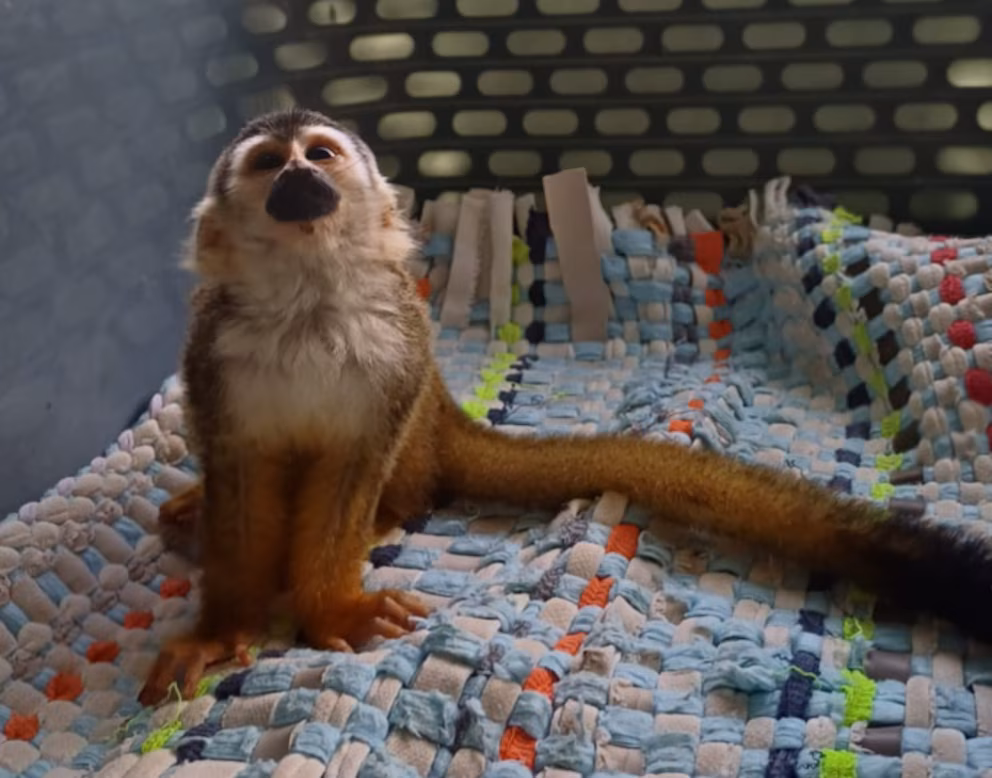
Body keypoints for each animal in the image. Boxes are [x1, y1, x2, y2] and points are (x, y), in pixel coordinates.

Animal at [139, 108, 992, 706]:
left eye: (318, 155)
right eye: (266, 163)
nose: (297, 177)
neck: (310, 306)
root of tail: (449, 411)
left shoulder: (397, 353)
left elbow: (351, 472)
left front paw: (329, 606)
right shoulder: (212, 353)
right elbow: (239, 478)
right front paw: (223, 626)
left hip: (418, 409)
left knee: (399, 478)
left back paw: (390, 512)